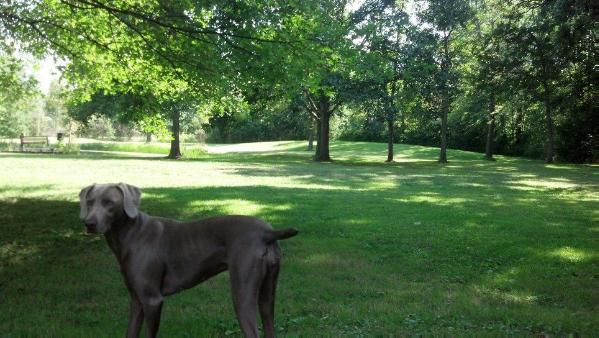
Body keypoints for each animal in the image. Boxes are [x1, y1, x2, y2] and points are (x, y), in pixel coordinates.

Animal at [78, 184, 298, 338]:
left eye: (109, 203)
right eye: (89, 201)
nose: (89, 224)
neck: (131, 233)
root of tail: (267, 232)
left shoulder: (152, 300)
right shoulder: (136, 301)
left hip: (242, 295)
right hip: (267, 296)